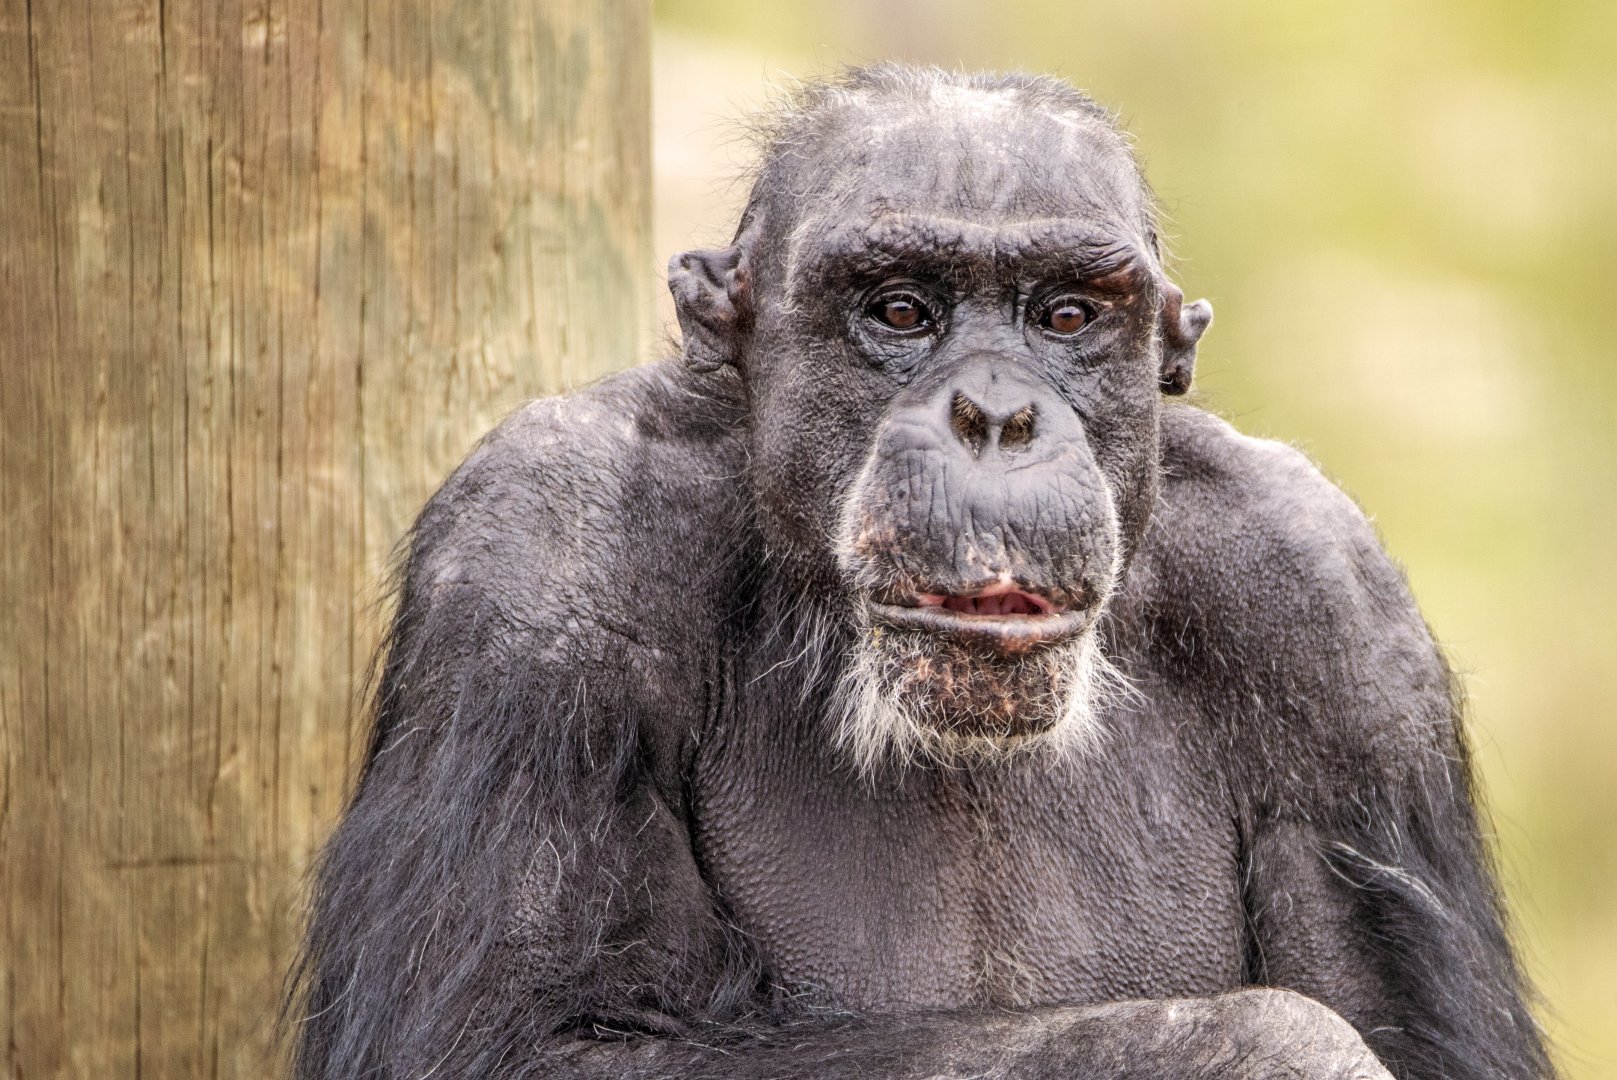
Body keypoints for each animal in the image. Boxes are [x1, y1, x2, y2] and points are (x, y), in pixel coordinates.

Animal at [291, 66, 1550, 1080]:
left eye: (1066, 315)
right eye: (900, 309)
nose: (993, 414)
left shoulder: (1343, 633)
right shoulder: (538, 564)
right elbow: (523, 1036)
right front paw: (1266, 1051)